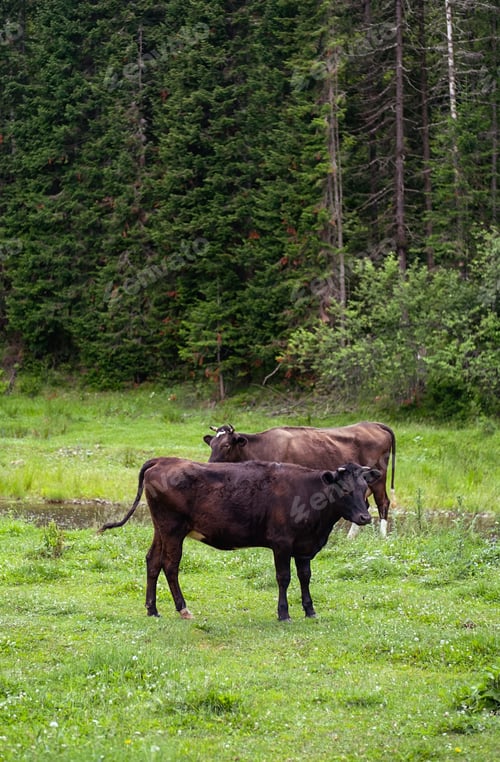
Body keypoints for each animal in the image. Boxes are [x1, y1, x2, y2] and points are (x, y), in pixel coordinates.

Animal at [99, 458, 380, 621]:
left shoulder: (303, 546)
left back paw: (152, 609)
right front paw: (284, 613)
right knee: (170, 565)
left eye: (364, 488)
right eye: (345, 489)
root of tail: (164, 460)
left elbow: (305, 576)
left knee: (153, 562)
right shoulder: (281, 543)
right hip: (172, 530)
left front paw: (310, 610)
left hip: (161, 529)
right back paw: (182, 608)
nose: (365, 517)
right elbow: (283, 577)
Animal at [204, 422, 396, 538]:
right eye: (211, 444)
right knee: (366, 503)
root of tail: (373, 424)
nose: (210, 464)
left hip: (378, 478)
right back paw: (351, 537)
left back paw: (382, 536)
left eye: (226, 445)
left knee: (383, 502)